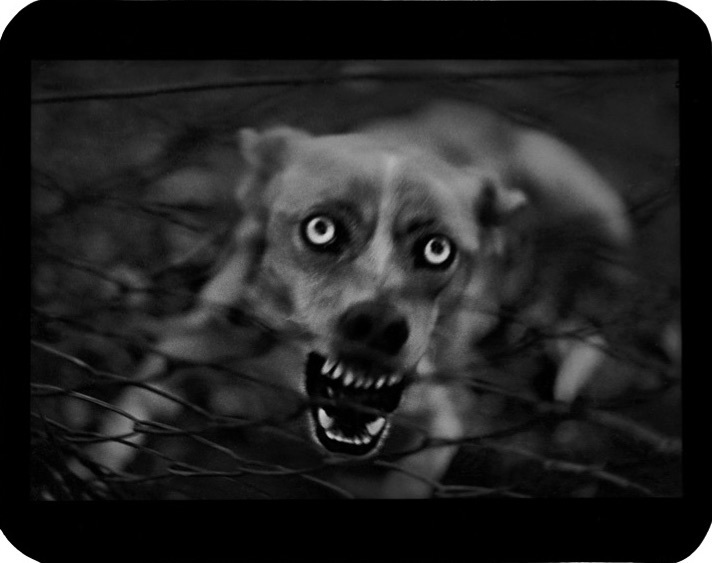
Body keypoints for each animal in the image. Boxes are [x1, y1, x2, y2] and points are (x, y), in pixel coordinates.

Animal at [75, 100, 632, 498]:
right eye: (320, 229)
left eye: (438, 249)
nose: (378, 326)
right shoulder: (189, 344)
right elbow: (123, 418)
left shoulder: (444, 422)